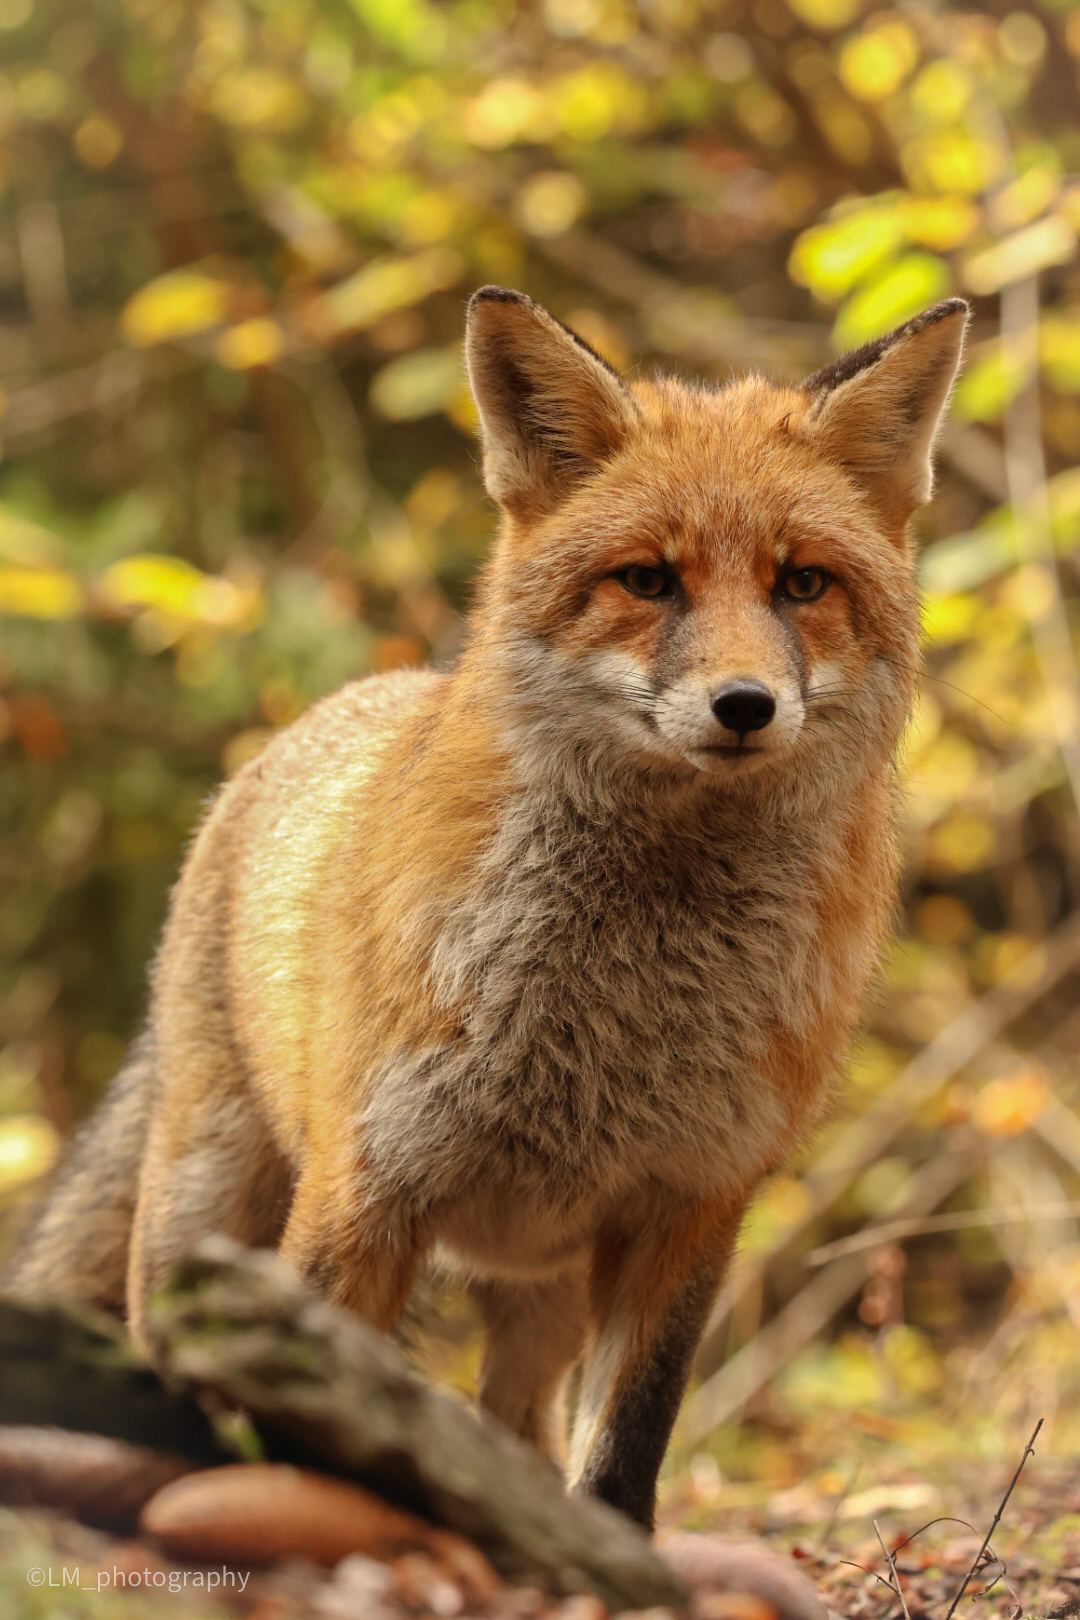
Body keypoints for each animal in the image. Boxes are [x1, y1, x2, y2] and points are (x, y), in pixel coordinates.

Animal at [9, 285, 968, 1529]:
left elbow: (620, 1464)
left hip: (540, 1300)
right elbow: (299, 1410)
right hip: (201, 1214)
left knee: (516, 1437)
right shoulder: (363, 1194)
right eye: (647, 580)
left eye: (802, 583)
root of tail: (337, 705)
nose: (746, 706)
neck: (623, 1006)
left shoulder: (689, 1212)